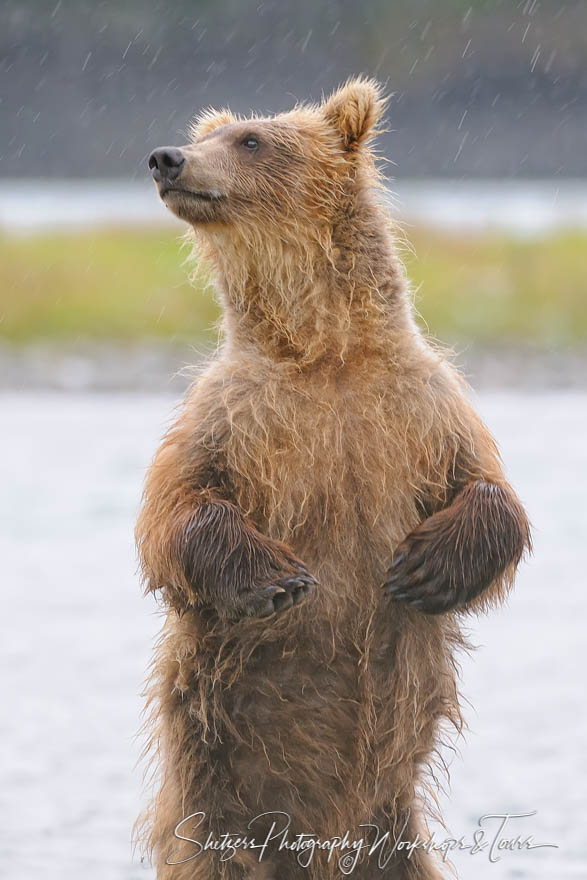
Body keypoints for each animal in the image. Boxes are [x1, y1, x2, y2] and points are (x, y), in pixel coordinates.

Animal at [136, 79, 532, 876]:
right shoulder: (231, 415)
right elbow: (176, 512)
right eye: (212, 135)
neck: (327, 353)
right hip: (214, 807)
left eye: (251, 139)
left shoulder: (423, 408)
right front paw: (276, 580)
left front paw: (424, 570)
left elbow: (490, 490)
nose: (167, 158)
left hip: (390, 830)